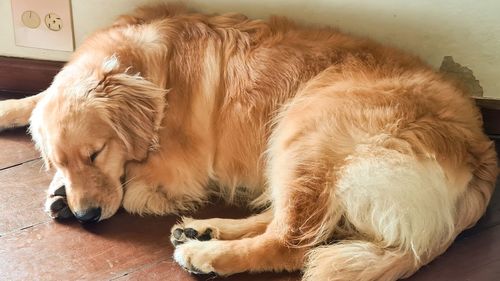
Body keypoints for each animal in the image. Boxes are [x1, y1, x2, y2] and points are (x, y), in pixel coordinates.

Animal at [0, 3, 498, 278]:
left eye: (96, 153)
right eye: (58, 160)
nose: (86, 216)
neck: (154, 70)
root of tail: (480, 152)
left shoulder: (171, 172)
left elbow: (132, 183)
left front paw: (65, 197)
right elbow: (37, 98)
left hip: (305, 126)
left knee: (291, 242)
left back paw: (204, 254)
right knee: (286, 221)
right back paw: (204, 230)